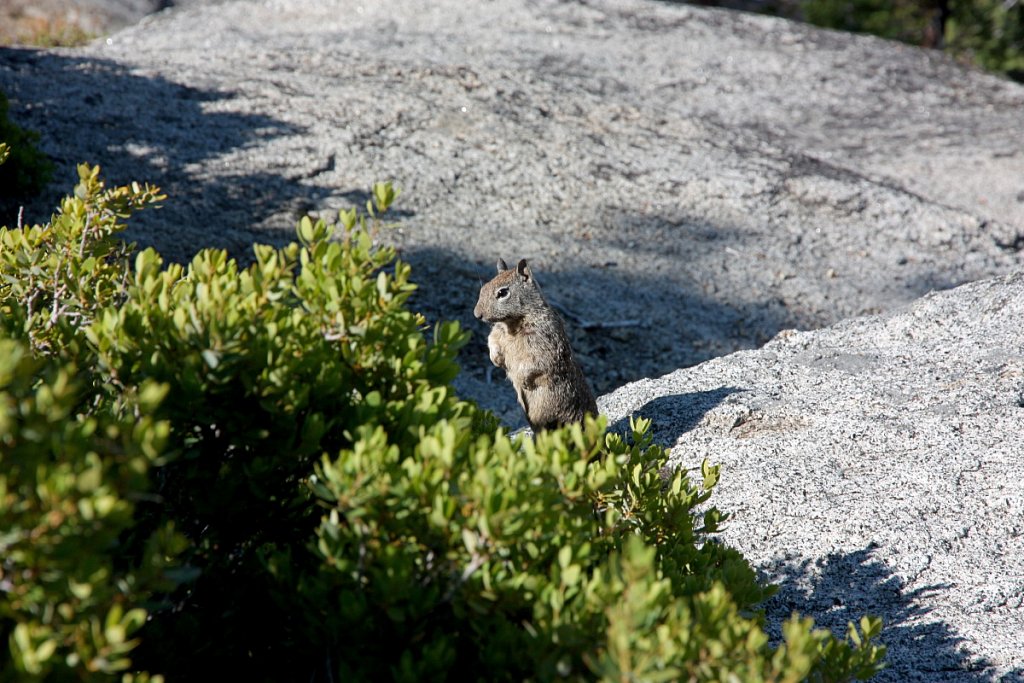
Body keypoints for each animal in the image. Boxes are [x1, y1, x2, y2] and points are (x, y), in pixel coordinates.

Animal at [473, 259, 598, 430]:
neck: (512, 324)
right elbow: (491, 340)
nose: (476, 314)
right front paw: (495, 359)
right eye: (483, 288)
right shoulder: (497, 333)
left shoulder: (544, 343)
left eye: (503, 293)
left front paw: (524, 380)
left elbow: (535, 363)